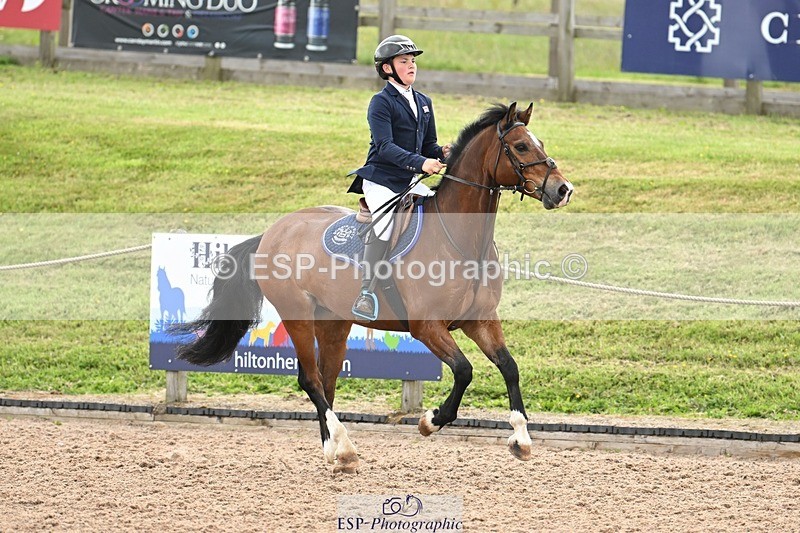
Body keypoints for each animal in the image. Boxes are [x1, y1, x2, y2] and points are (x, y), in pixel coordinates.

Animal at [173, 102, 573, 473]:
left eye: (540, 142)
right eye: (520, 146)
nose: (563, 190)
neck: (460, 240)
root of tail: (273, 231)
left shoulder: (481, 319)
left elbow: (509, 367)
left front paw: (521, 438)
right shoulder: (427, 327)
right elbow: (464, 371)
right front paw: (431, 421)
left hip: (333, 321)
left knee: (327, 379)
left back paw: (334, 451)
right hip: (298, 315)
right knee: (311, 379)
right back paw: (344, 446)